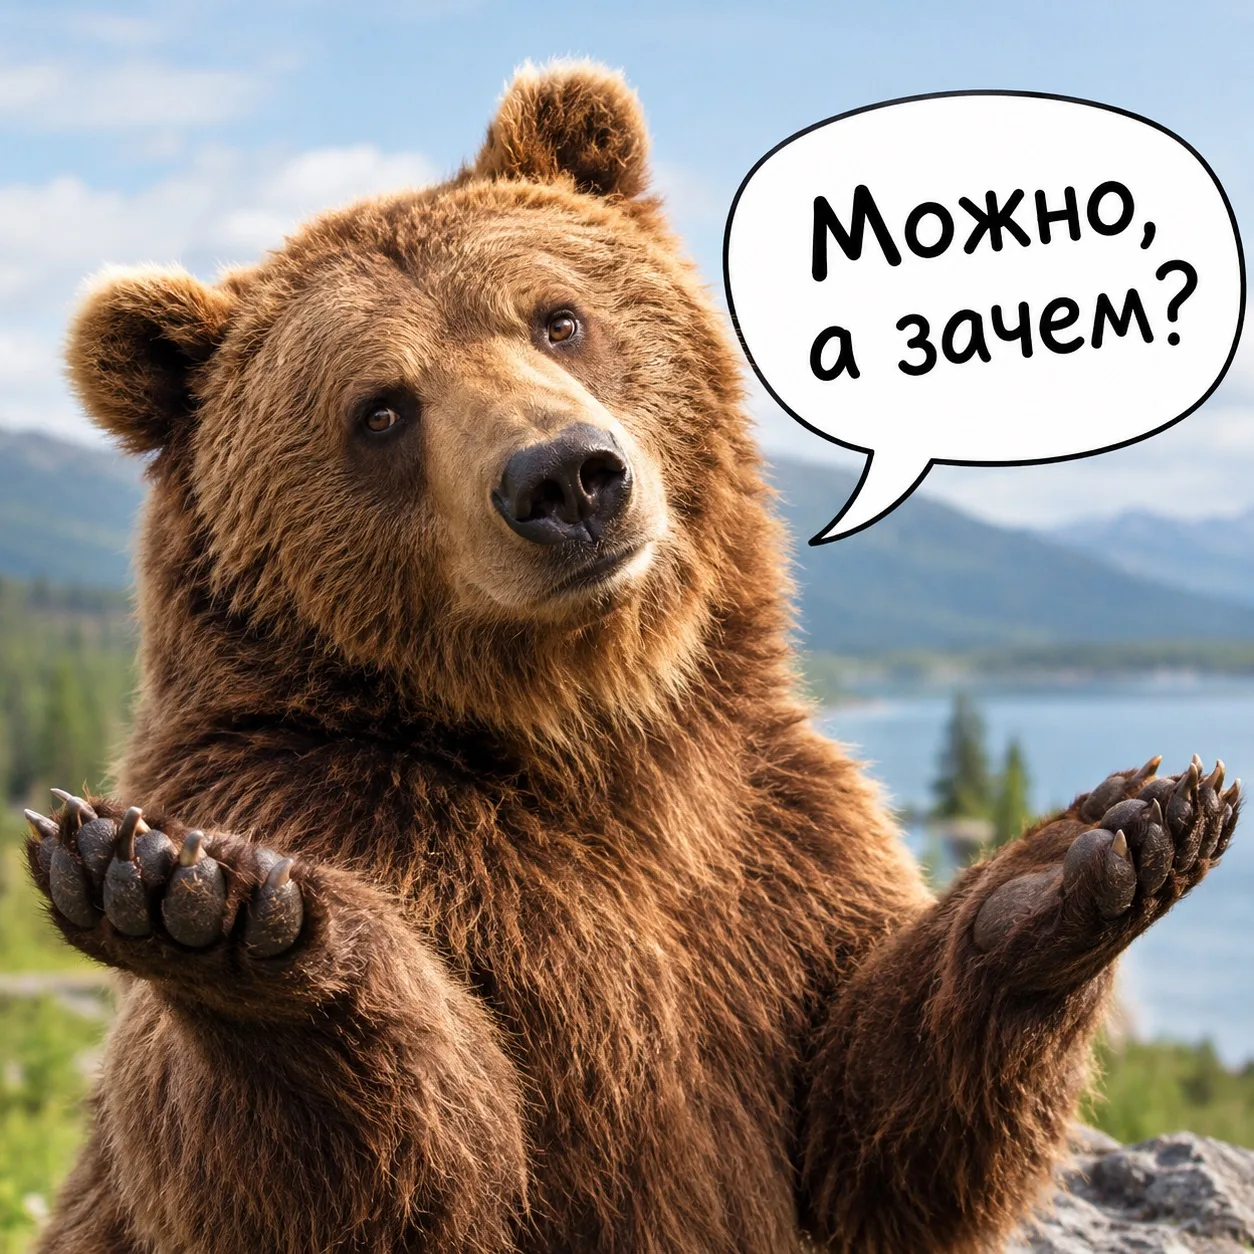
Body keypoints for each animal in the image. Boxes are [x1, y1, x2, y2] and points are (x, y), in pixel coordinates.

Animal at [24, 61, 1238, 1254]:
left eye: (558, 317)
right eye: (379, 408)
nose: (565, 476)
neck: (591, 729)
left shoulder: (780, 853)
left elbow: (876, 1134)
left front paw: (1088, 855)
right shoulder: (349, 818)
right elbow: (400, 1164)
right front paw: (215, 916)